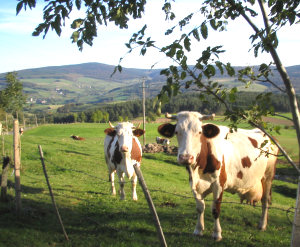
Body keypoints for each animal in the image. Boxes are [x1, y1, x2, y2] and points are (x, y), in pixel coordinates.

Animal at [158, 111, 278, 241]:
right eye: (176, 132)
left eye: (199, 132)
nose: (185, 157)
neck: (198, 170)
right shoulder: (193, 184)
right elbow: (200, 207)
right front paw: (198, 230)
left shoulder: (219, 184)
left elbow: (216, 209)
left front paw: (217, 233)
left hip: (268, 176)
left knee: (265, 200)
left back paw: (262, 225)